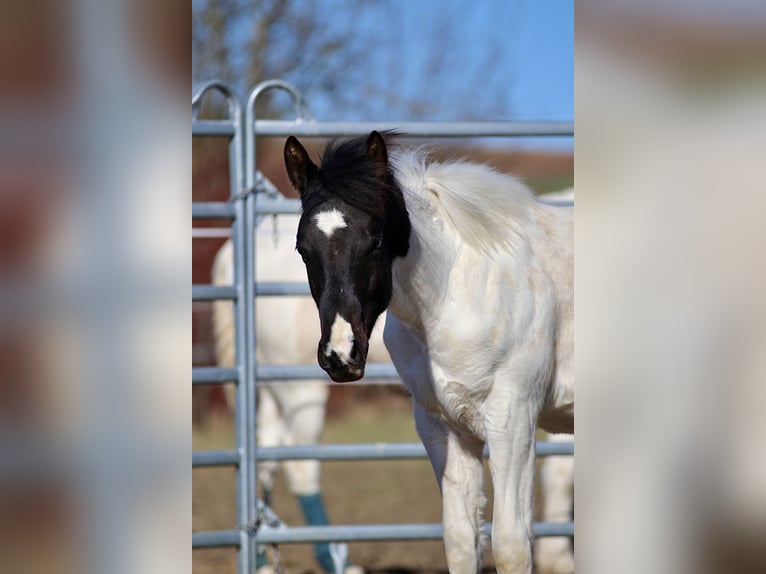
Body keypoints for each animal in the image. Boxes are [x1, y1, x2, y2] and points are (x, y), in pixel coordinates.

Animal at [283, 131, 574, 574]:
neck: (458, 294)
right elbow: (460, 540)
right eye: (303, 248)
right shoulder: (443, 426)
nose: (341, 354)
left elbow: (511, 544)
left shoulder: (513, 419)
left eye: (376, 240)